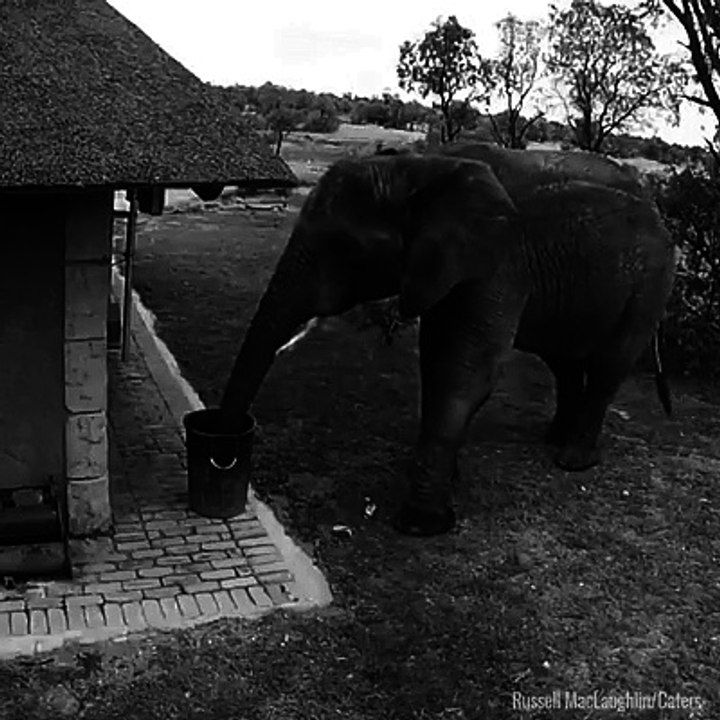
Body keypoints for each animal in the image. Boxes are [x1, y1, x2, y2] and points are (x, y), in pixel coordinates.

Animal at [220, 152, 676, 536]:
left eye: (343, 247)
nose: (228, 450)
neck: (419, 170)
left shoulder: (497, 264)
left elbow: (465, 370)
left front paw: (421, 524)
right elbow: (438, 360)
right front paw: (446, 481)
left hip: (651, 284)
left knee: (608, 365)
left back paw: (572, 461)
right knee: (564, 361)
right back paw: (554, 440)